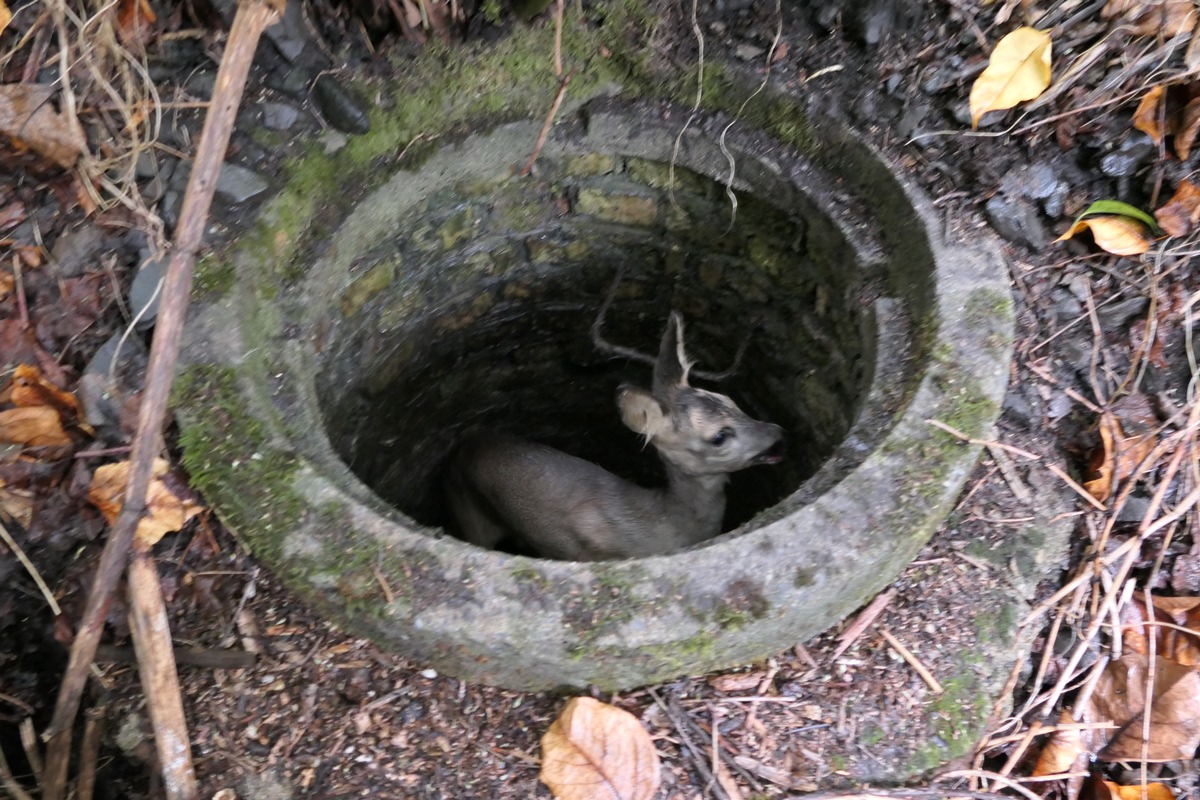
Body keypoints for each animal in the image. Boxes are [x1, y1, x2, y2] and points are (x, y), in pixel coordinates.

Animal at [441, 275, 787, 563]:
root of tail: (465, 443)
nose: (777, 433)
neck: (662, 527)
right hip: (470, 514)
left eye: (729, 400)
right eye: (719, 436)